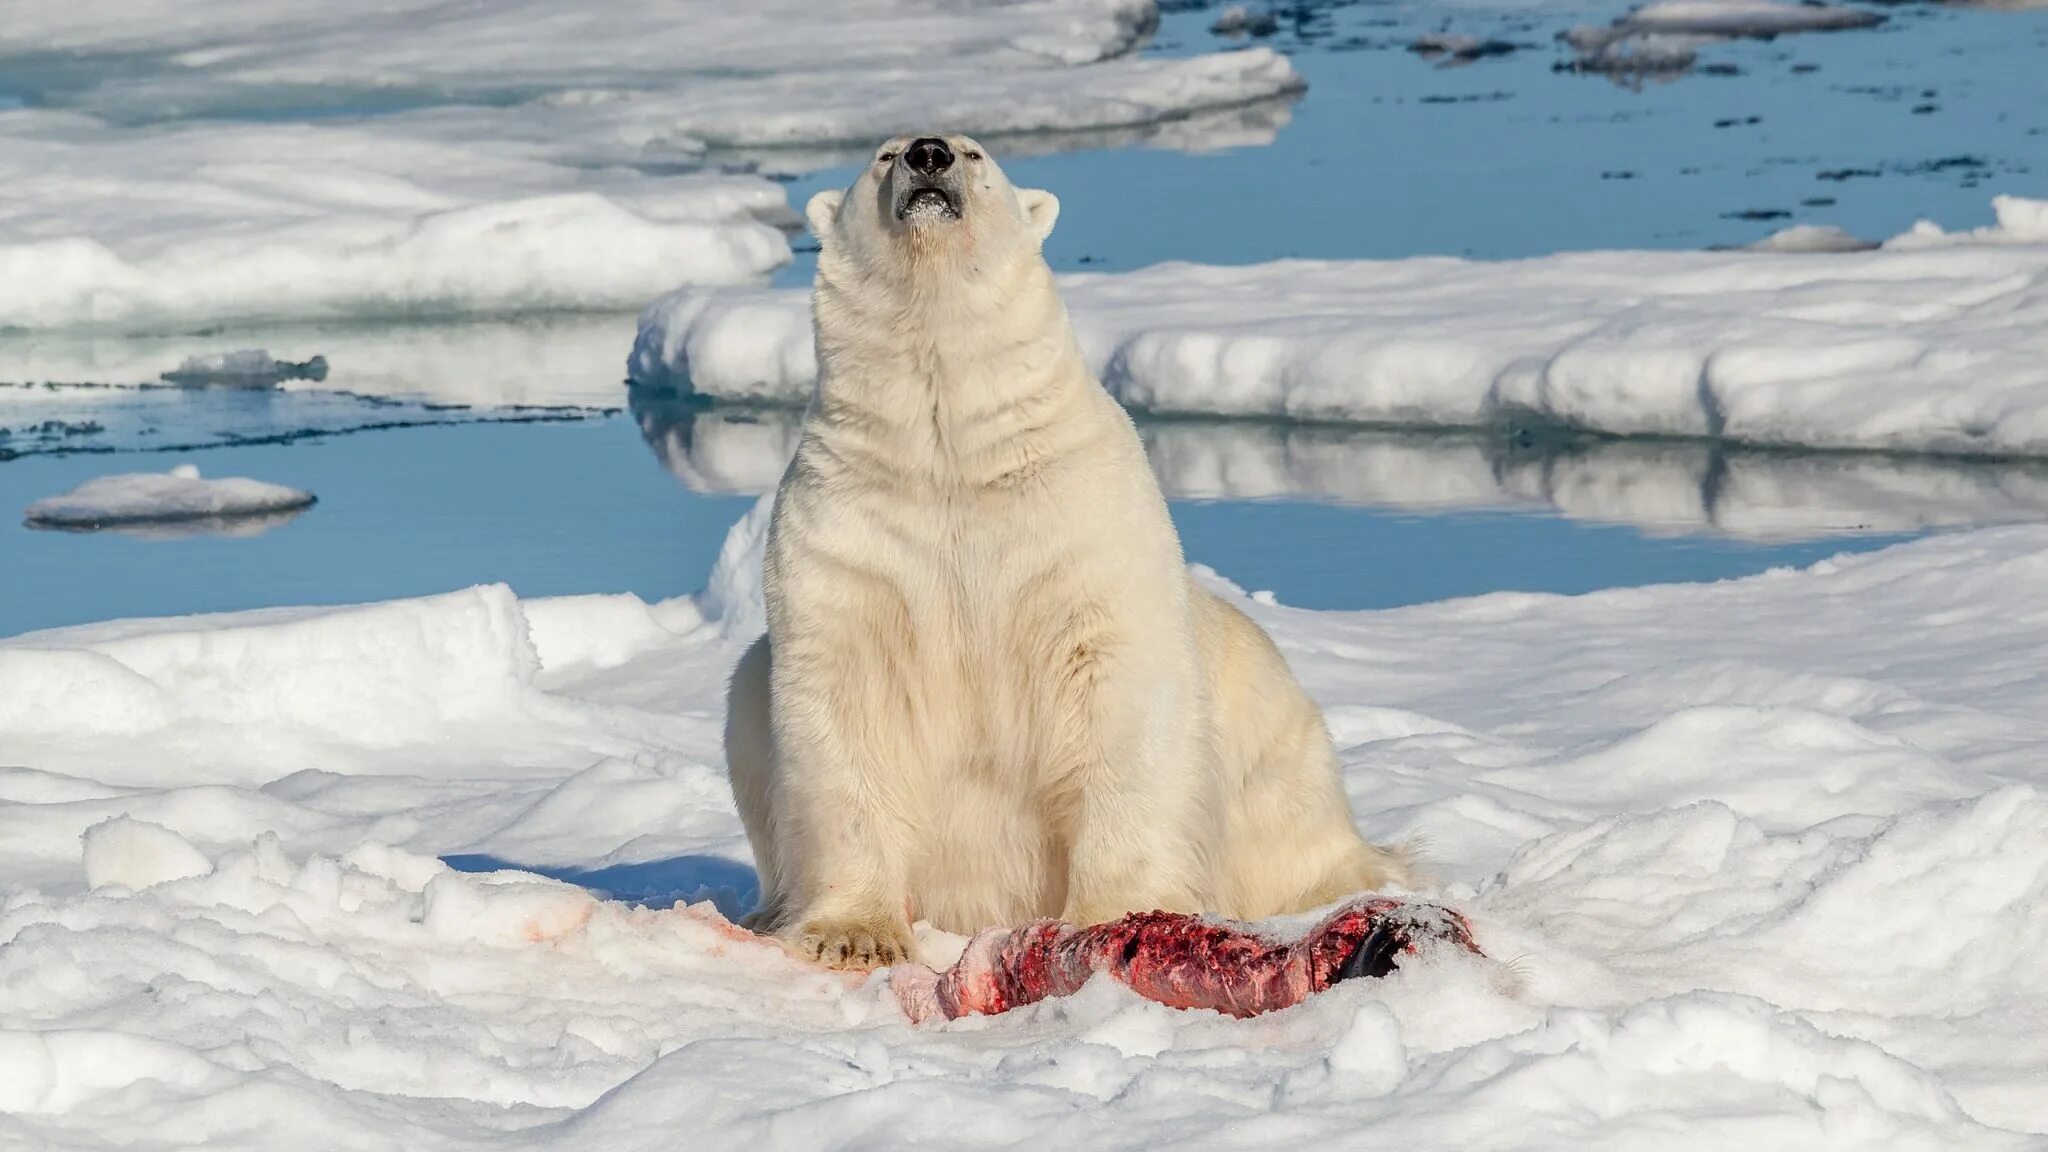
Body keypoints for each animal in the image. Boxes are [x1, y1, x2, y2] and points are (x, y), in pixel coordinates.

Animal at [720, 132, 1409, 967]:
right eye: (882, 155)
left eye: (976, 152)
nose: (928, 154)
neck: (954, 455)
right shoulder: (848, 539)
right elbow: (845, 708)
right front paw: (854, 935)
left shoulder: (1081, 524)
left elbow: (1116, 698)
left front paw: (1111, 914)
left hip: (1276, 747)